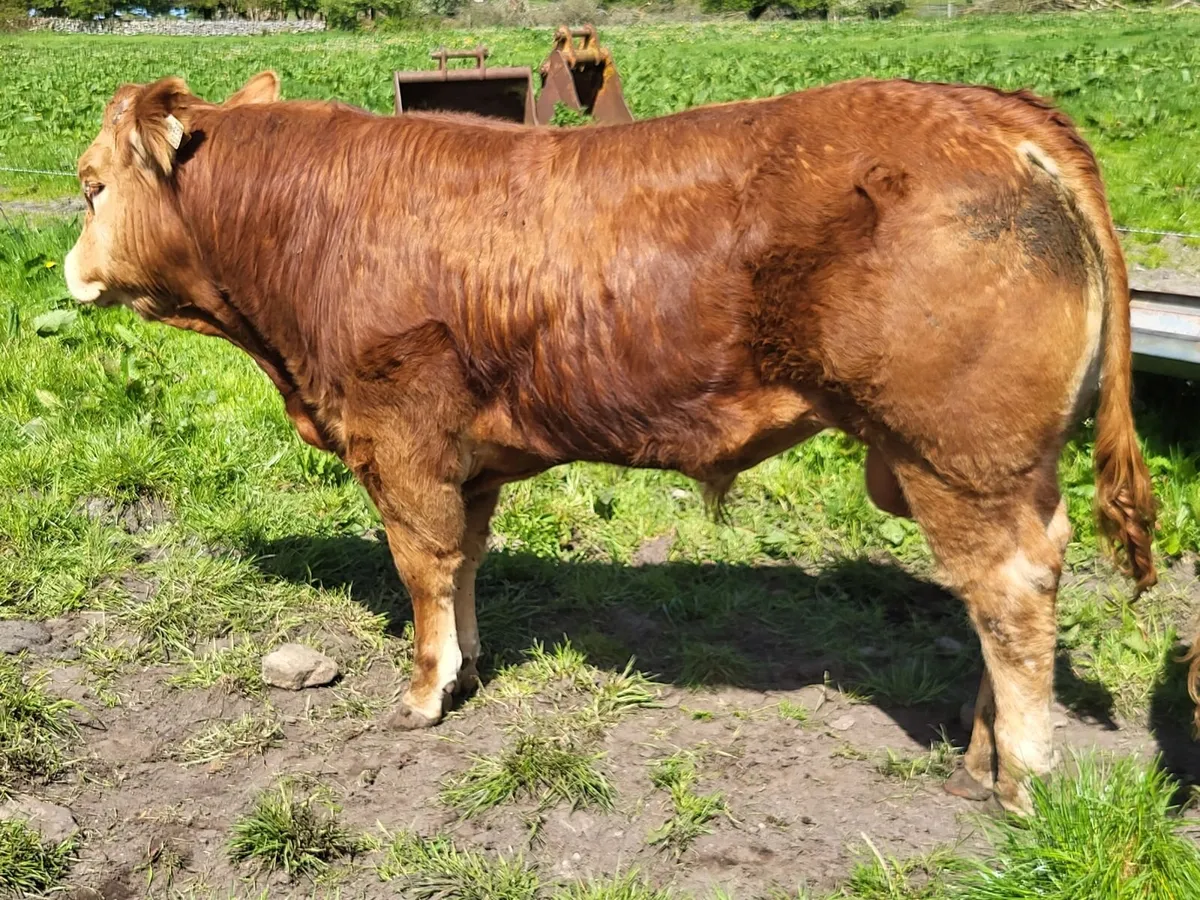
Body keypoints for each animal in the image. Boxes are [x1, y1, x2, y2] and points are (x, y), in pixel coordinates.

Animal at [65, 70, 1158, 815]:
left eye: (89, 188)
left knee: (1010, 592)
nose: (70, 270)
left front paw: (422, 694)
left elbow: (422, 567)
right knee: (1003, 590)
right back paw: (983, 755)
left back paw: (1020, 781)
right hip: (981, 466)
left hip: (957, 456)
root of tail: (991, 109)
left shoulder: (400, 436)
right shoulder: (467, 456)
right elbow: (466, 561)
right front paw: (467, 666)